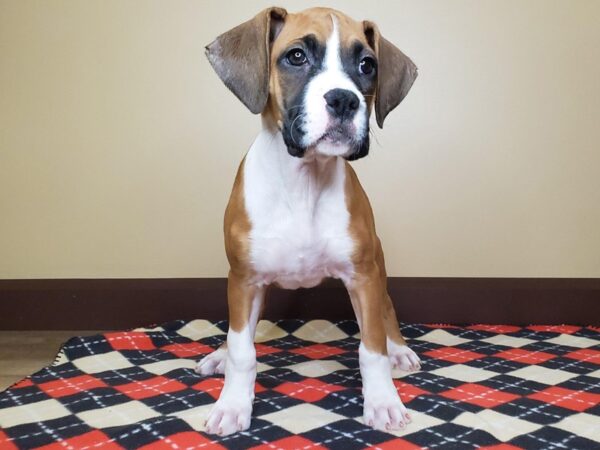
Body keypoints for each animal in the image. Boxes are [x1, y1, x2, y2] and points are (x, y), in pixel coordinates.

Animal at [199, 6, 420, 436]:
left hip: (378, 267)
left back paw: (399, 349)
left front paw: (383, 401)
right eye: (296, 56)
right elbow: (242, 350)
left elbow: (372, 349)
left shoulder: (363, 278)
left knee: (386, 310)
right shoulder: (244, 280)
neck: (304, 181)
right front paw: (232, 404)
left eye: (367, 65)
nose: (344, 100)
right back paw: (219, 354)